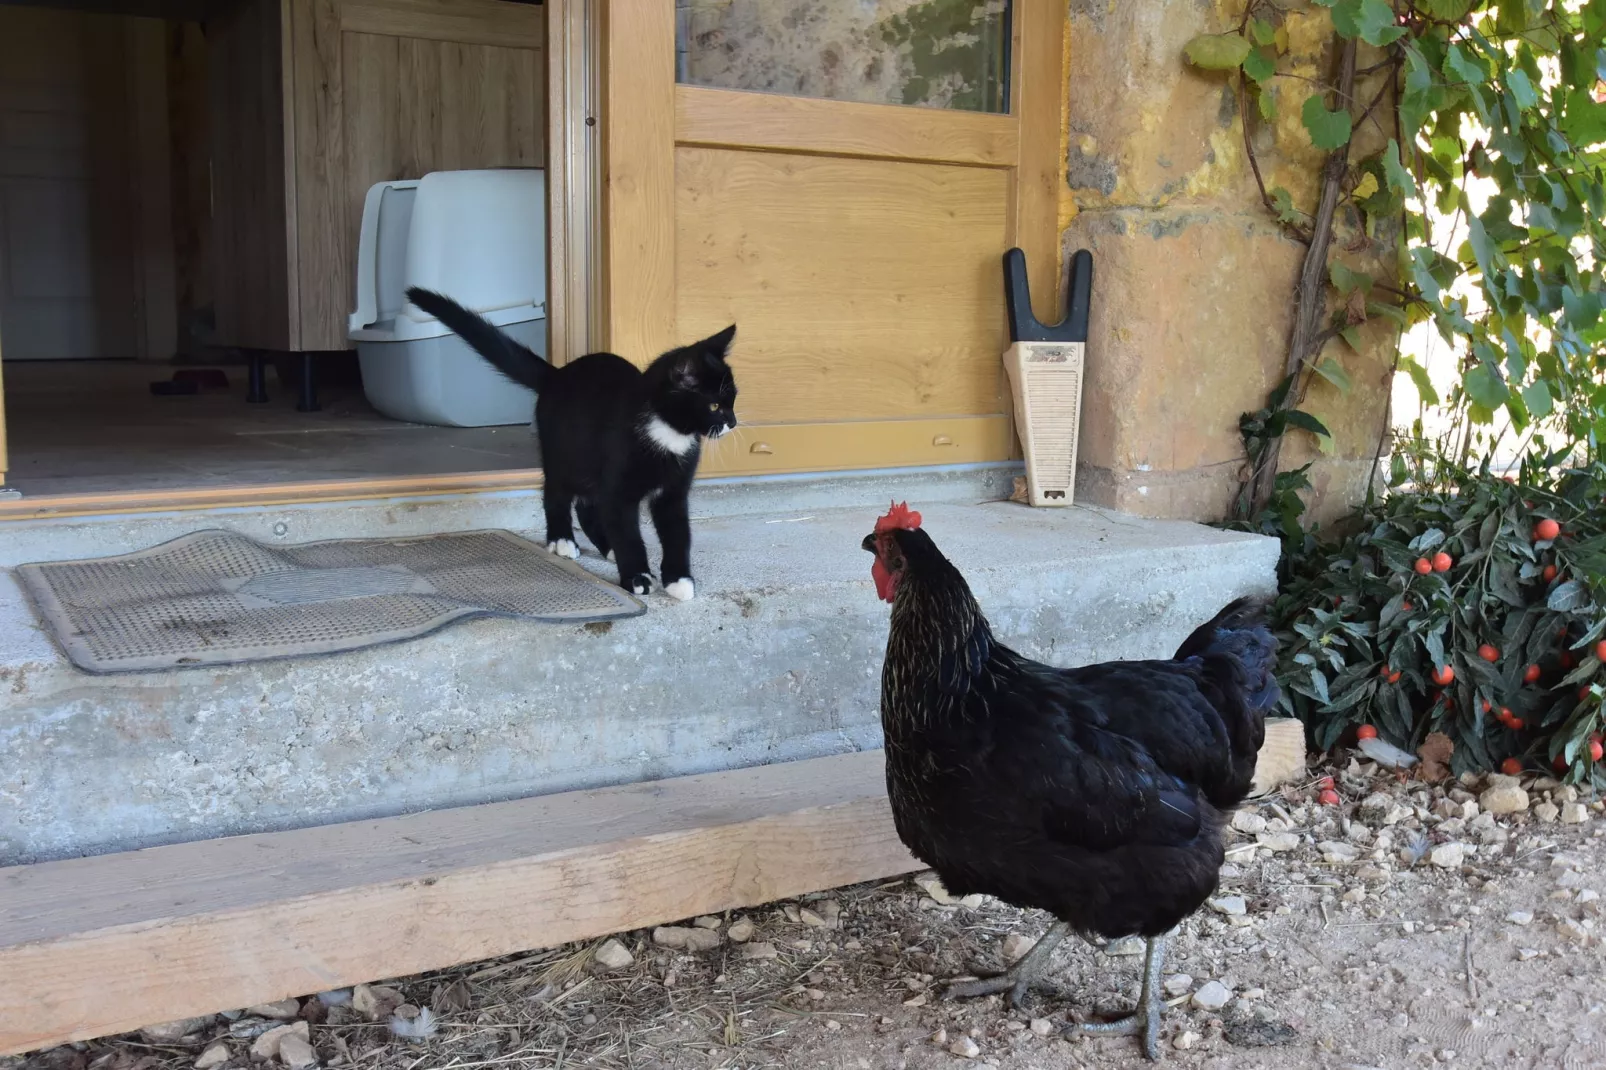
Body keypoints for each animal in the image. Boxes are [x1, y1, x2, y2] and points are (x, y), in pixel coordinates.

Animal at [404, 285, 735, 600]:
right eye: (715, 406)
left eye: (733, 400)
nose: (733, 422)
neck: (667, 433)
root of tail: (556, 375)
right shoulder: (619, 489)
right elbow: (628, 534)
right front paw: (637, 578)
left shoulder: (673, 492)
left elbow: (678, 534)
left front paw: (679, 581)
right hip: (563, 454)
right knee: (556, 494)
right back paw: (562, 540)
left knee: (587, 506)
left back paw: (606, 546)